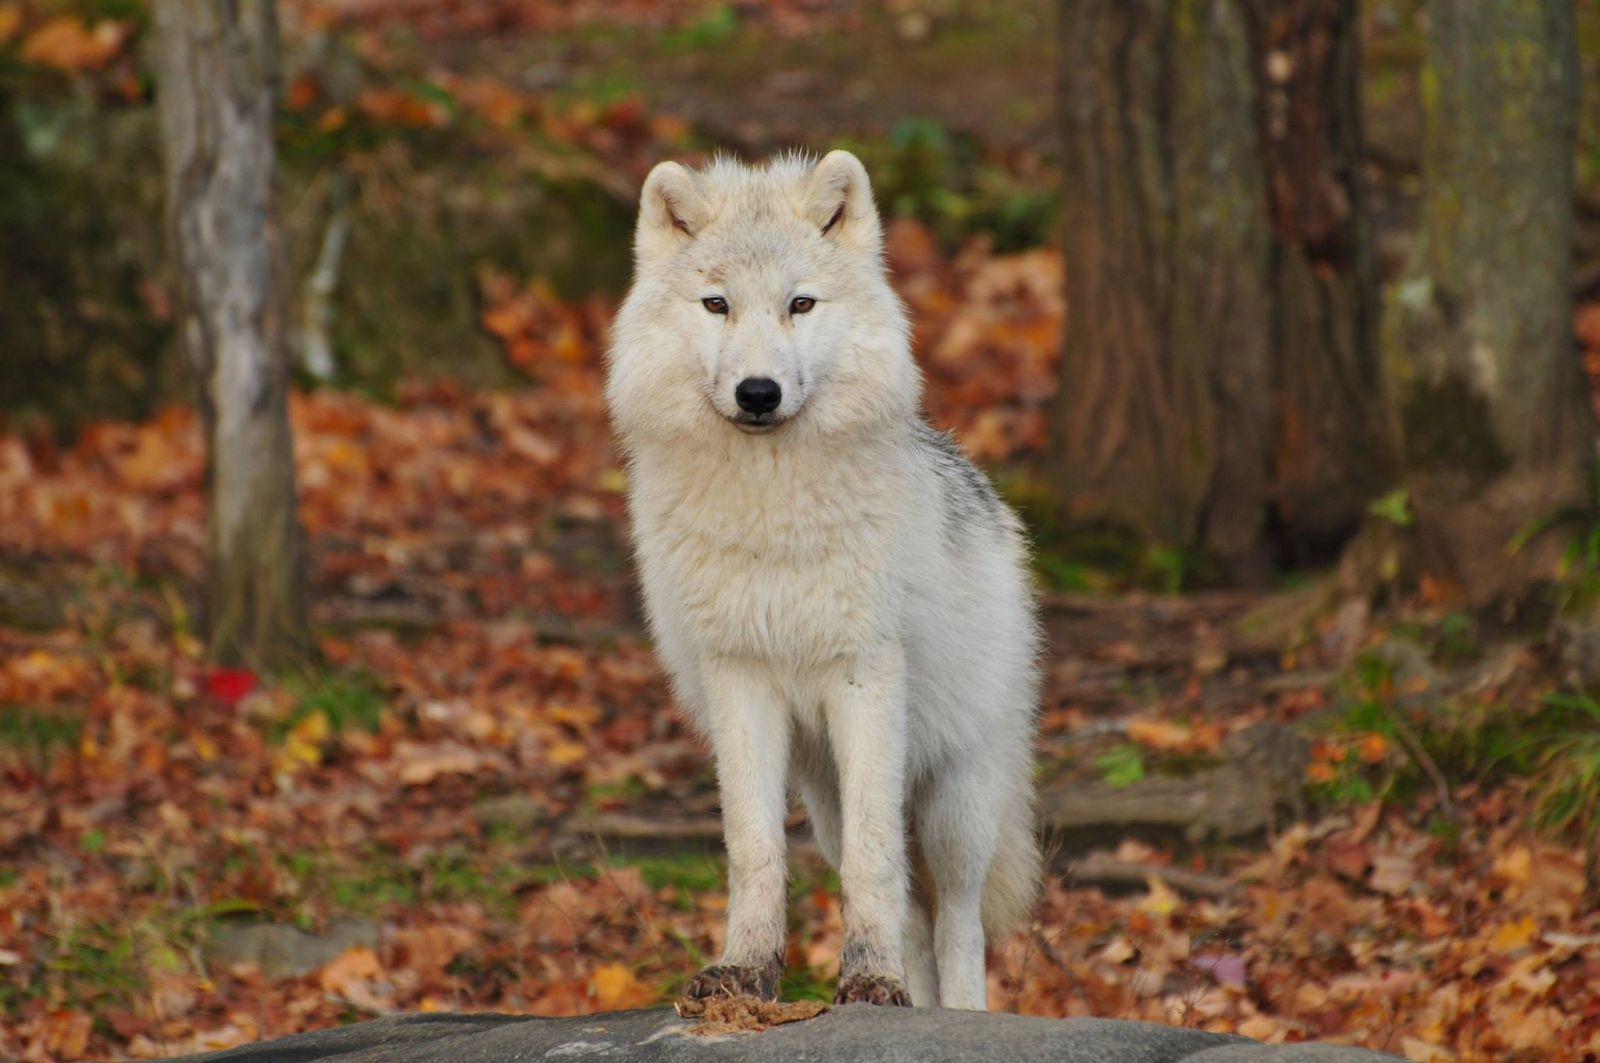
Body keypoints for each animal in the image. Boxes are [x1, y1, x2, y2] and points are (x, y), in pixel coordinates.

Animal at [605, 150, 1041, 1011]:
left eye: (800, 304)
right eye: (717, 304)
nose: (758, 393)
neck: (772, 515)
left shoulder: (863, 674)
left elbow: (877, 862)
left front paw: (868, 977)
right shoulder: (739, 676)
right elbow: (753, 848)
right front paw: (745, 970)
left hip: (956, 799)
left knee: (957, 917)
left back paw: (958, 1012)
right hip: (825, 795)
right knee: (913, 913)